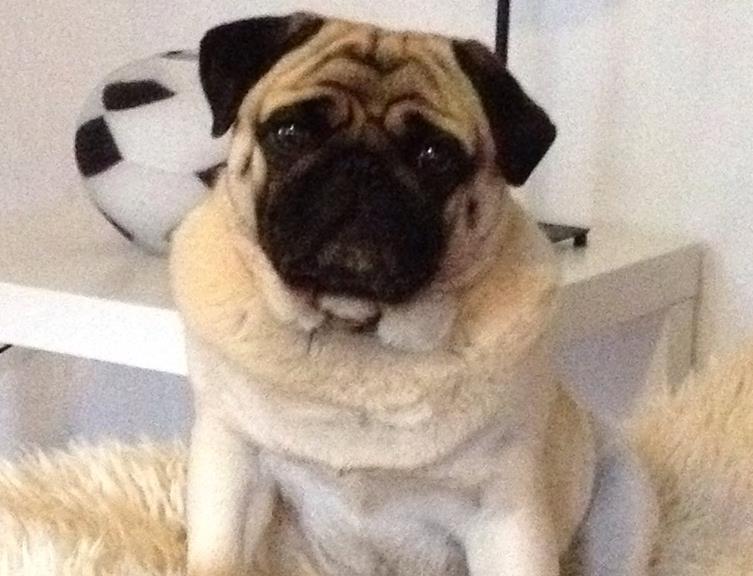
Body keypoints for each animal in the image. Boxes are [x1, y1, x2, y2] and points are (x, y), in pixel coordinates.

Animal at [170, 13, 658, 576]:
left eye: (433, 156)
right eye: (290, 133)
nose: (361, 166)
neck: (356, 333)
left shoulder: (505, 514)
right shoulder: (231, 463)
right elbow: (220, 554)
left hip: (625, 497)